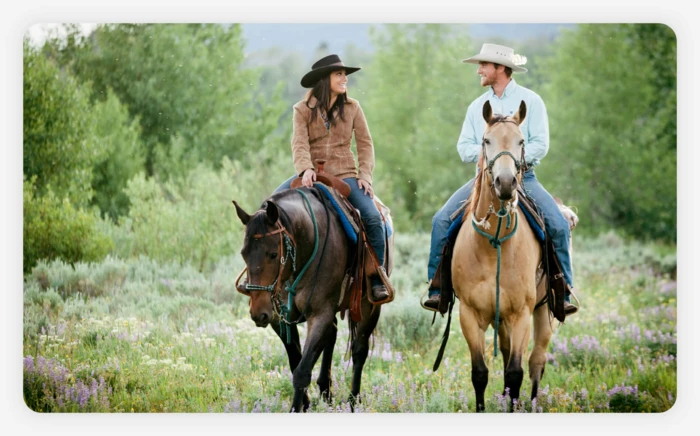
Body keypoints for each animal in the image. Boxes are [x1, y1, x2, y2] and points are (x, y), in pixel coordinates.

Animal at [232, 183, 392, 412]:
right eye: (244, 253)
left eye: (273, 254)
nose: (258, 313)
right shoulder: (279, 318)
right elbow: (295, 362)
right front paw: (305, 403)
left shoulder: (320, 313)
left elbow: (302, 371)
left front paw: (296, 407)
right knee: (332, 336)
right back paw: (326, 391)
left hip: (369, 307)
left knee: (359, 351)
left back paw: (353, 401)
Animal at [452, 100, 560, 410]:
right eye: (486, 140)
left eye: (521, 141)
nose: (506, 182)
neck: (495, 245)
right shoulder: (469, 314)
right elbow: (479, 373)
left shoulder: (521, 314)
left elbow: (515, 373)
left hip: (543, 312)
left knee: (536, 363)